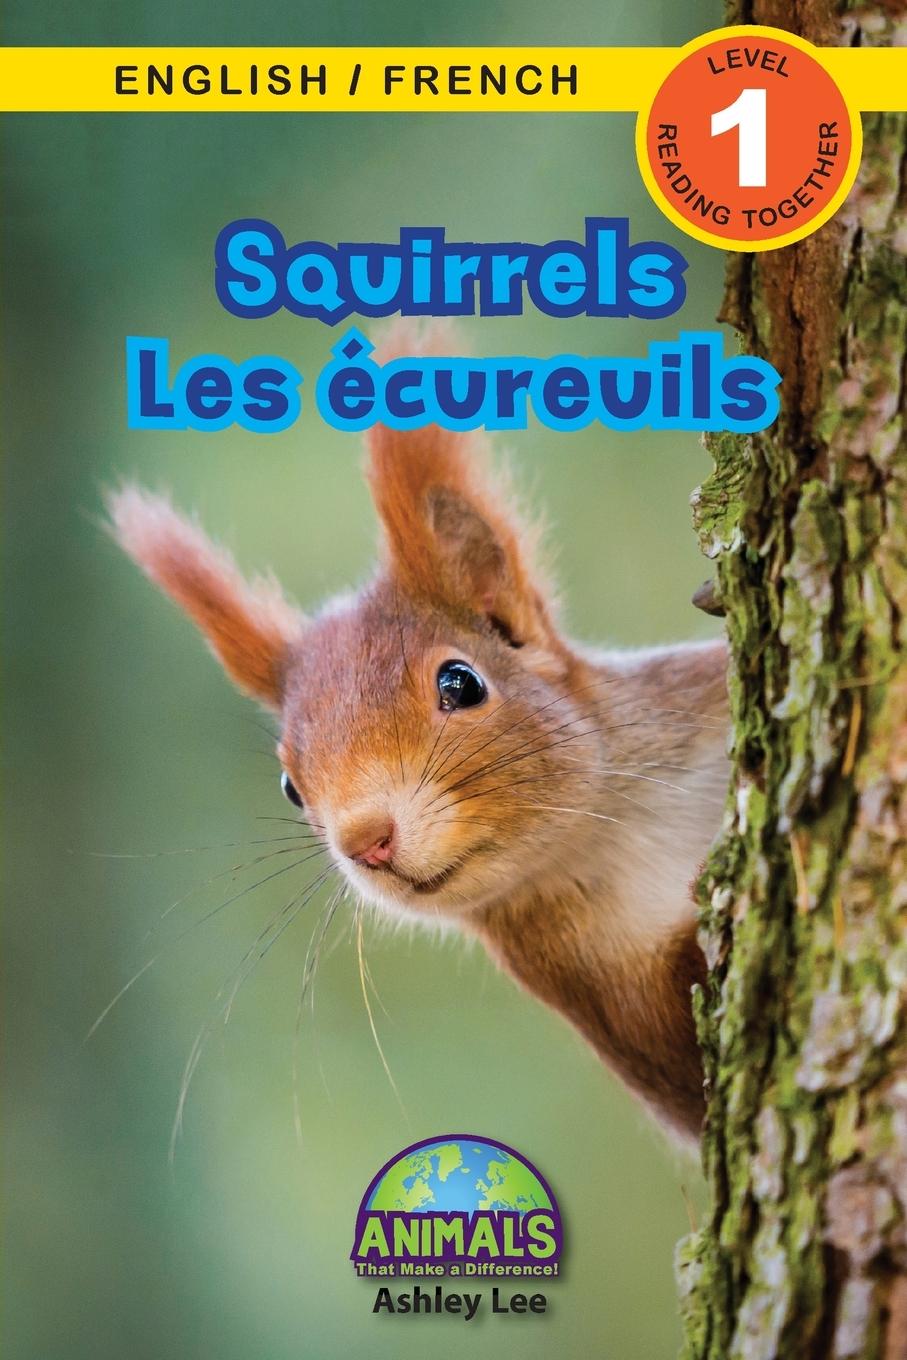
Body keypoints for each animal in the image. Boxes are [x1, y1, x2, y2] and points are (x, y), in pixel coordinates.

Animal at [108, 418, 729, 1142]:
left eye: (460, 683)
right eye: (290, 787)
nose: (365, 840)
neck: (617, 832)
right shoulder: (603, 997)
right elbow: (687, 1072)